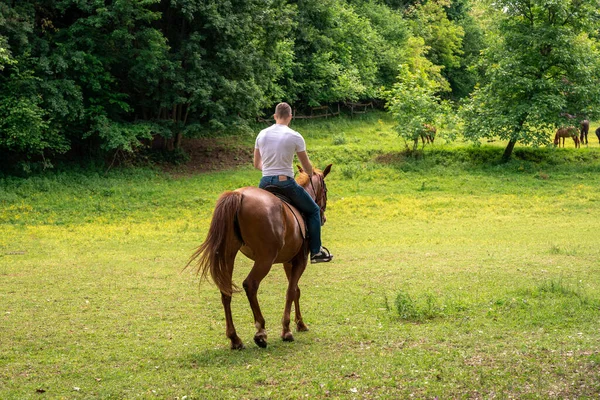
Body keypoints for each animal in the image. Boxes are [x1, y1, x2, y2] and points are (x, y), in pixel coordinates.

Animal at [185, 164, 330, 348]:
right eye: (325, 190)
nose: (323, 217)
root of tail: (238, 195)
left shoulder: (288, 262)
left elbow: (296, 290)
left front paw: (300, 324)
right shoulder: (300, 260)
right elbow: (291, 291)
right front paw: (287, 330)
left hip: (228, 255)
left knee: (226, 291)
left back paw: (235, 338)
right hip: (265, 259)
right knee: (251, 285)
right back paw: (260, 332)